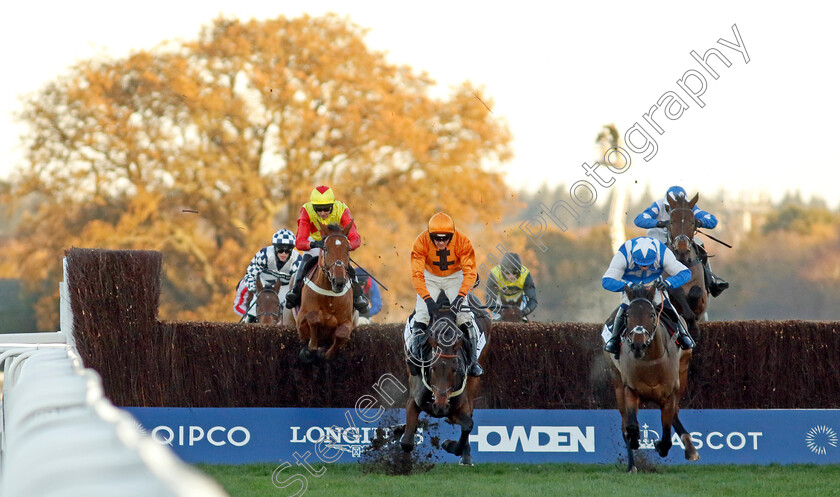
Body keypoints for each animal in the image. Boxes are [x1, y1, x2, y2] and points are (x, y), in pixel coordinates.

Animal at [296, 221, 354, 360]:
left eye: (348, 249)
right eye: (326, 248)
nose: (338, 282)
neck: (330, 295)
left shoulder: (348, 322)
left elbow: (341, 333)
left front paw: (325, 353)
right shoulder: (301, 319)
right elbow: (313, 318)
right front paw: (311, 347)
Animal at [398, 294, 488, 464]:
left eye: (455, 370)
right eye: (433, 368)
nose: (439, 406)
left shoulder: (455, 407)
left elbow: (468, 425)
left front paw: (450, 445)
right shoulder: (414, 400)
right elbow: (406, 442)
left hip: (472, 384)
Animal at [608, 280, 700, 470]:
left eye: (651, 315)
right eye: (627, 315)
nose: (638, 345)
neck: (651, 360)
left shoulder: (670, 393)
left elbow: (666, 435)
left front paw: (660, 445)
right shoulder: (630, 389)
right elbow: (631, 426)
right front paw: (635, 442)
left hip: (683, 372)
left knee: (675, 412)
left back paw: (690, 448)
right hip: (617, 382)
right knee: (625, 423)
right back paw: (632, 464)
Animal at [668, 192, 708, 324]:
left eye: (692, 222)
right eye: (671, 222)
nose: (682, 248)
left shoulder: (703, 299)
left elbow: (696, 291)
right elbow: (676, 291)